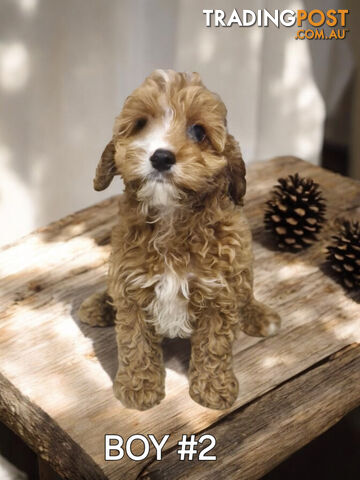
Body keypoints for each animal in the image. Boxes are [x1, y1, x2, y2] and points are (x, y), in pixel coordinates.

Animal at [79, 69, 282, 410]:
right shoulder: (131, 284)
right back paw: (100, 306)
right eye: (140, 124)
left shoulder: (219, 292)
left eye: (198, 132)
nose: (161, 157)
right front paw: (138, 388)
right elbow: (134, 341)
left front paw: (213, 389)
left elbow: (215, 345)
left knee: (246, 293)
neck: (171, 217)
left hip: (243, 263)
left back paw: (259, 315)